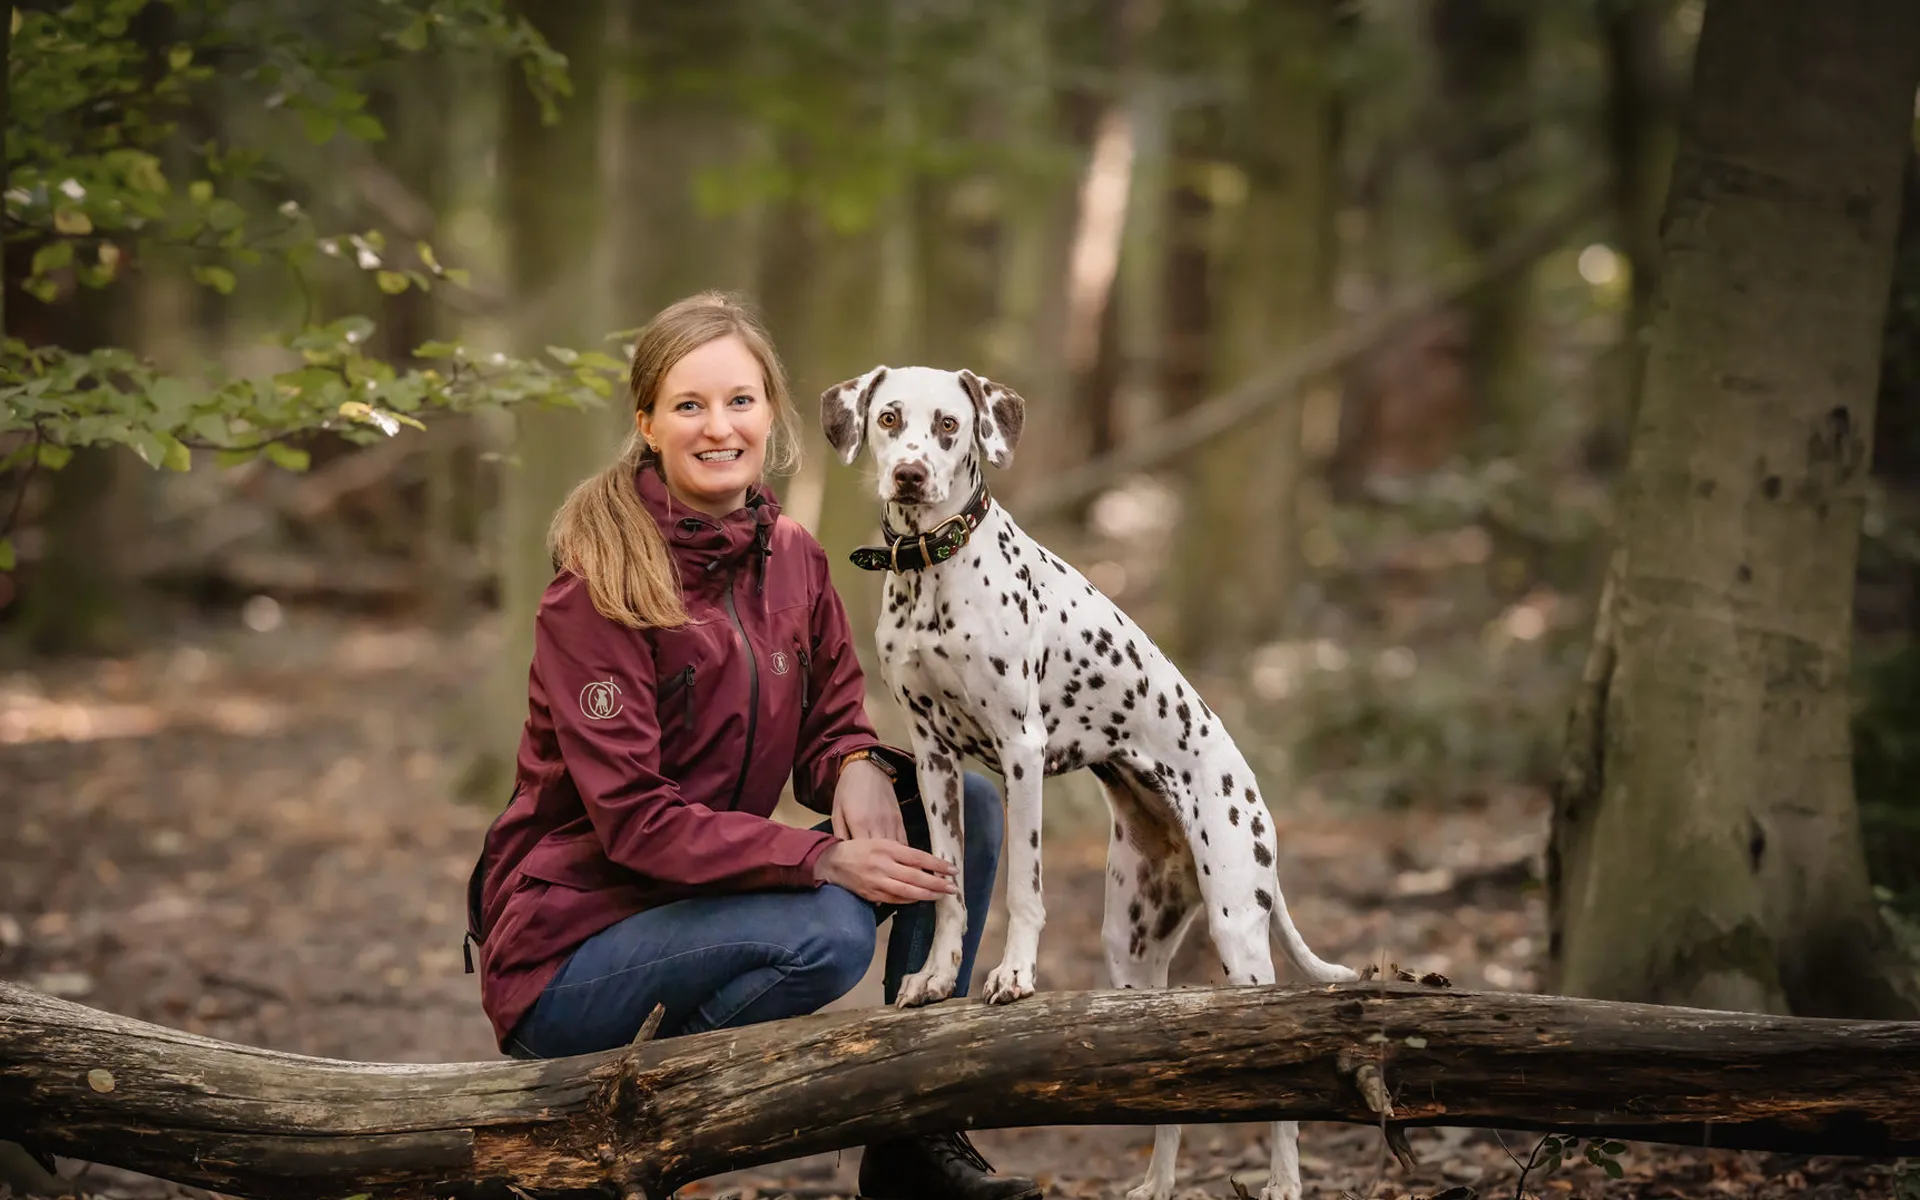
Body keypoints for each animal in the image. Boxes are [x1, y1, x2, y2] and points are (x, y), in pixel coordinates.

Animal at [817, 362, 1359, 1198]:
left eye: (949, 426)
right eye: (890, 418)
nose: (910, 473)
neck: (935, 573)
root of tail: (1250, 795)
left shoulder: (1020, 749)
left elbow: (1024, 891)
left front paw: (1013, 975)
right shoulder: (934, 755)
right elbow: (948, 889)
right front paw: (935, 978)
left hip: (1239, 929)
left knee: (1278, 1069)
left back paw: (1285, 1182)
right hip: (1131, 950)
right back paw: (1158, 1184)